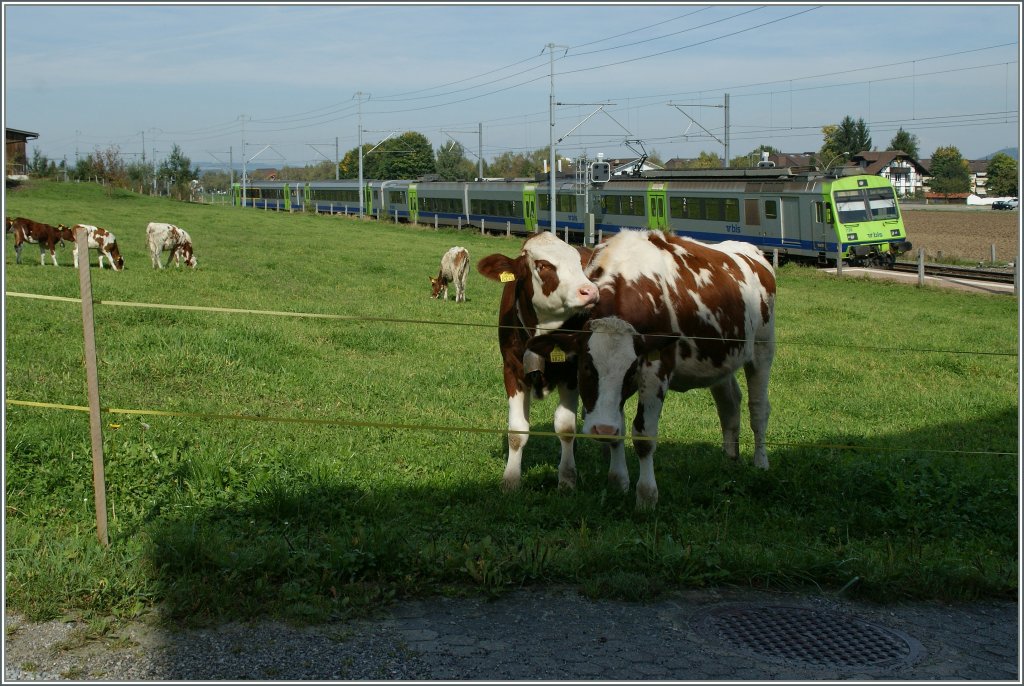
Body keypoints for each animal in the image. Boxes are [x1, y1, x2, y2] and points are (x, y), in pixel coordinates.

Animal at [477, 233, 598, 491]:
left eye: (578, 263)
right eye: (543, 266)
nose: (590, 291)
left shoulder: (570, 375)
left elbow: (566, 428)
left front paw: (567, 478)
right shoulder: (512, 371)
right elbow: (517, 431)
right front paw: (511, 479)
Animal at [528, 231, 774, 509]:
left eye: (630, 370)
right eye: (586, 367)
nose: (601, 429)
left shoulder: (656, 370)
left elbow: (643, 435)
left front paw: (646, 495)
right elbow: (619, 429)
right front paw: (618, 481)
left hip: (763, 349)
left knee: (758, 408)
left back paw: (760, 462)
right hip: (722, 360)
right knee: (729, 402)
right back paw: (730, 459)